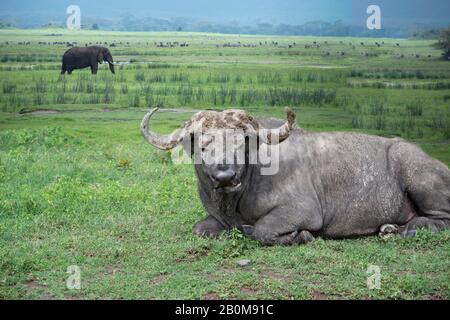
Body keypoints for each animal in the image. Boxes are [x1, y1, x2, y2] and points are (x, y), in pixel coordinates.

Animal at [141, 107, 450, 245]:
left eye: (241, 143)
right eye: (203, 145)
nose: (225, 175)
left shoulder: (303, 211)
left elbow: (263, 230)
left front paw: (300, 236)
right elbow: (199, 229)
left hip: (417, 175)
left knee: (441, 219)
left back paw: (403, 230)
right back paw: (390, 228)